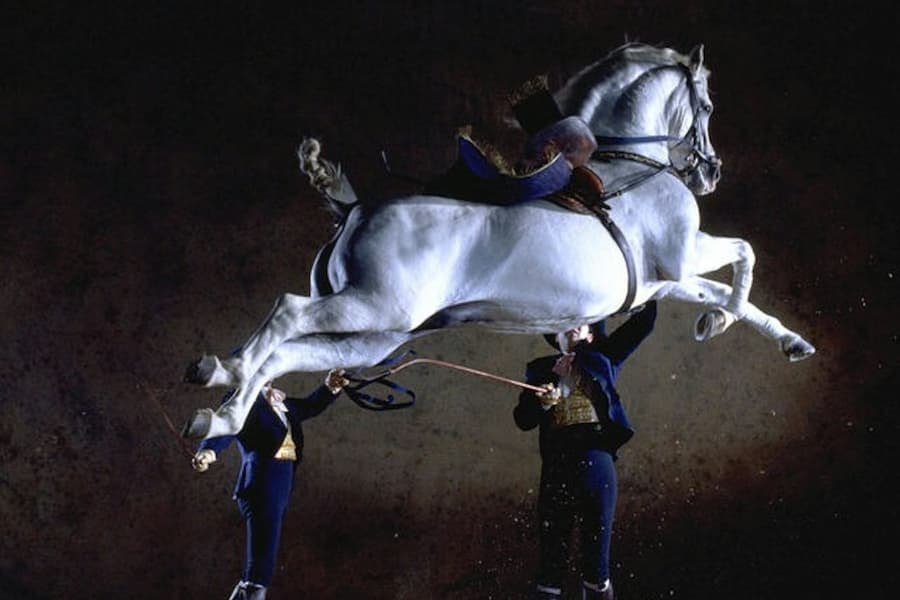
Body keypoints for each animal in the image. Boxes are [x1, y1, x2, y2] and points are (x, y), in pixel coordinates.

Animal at [181, 43, 815, 440]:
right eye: (706, 105)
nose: (711, 173)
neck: (628, 164)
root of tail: (354, 208)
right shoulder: (685, 255)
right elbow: (744, 255)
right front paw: (718, 322)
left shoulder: (662, 282)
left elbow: (727, 290)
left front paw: (781, 338)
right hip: (373, 307)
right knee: (285, 315)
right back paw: (223, 372)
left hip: (374, 338)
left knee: (287, 354)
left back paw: (219, 414)